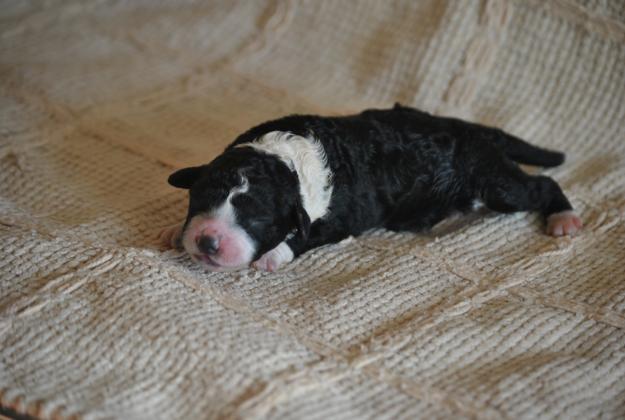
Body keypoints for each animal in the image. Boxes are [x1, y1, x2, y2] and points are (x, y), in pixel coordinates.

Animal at [160, 103, 580, 270]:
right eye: (200, 199)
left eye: (258, 221)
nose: (207, 241)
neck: (281, 156)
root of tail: (471, 128)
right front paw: (173, 230)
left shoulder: (337, 220)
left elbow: (301, 237)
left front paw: (272, 255)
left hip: (492, 180)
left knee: (539, 184)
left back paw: (563, 218)